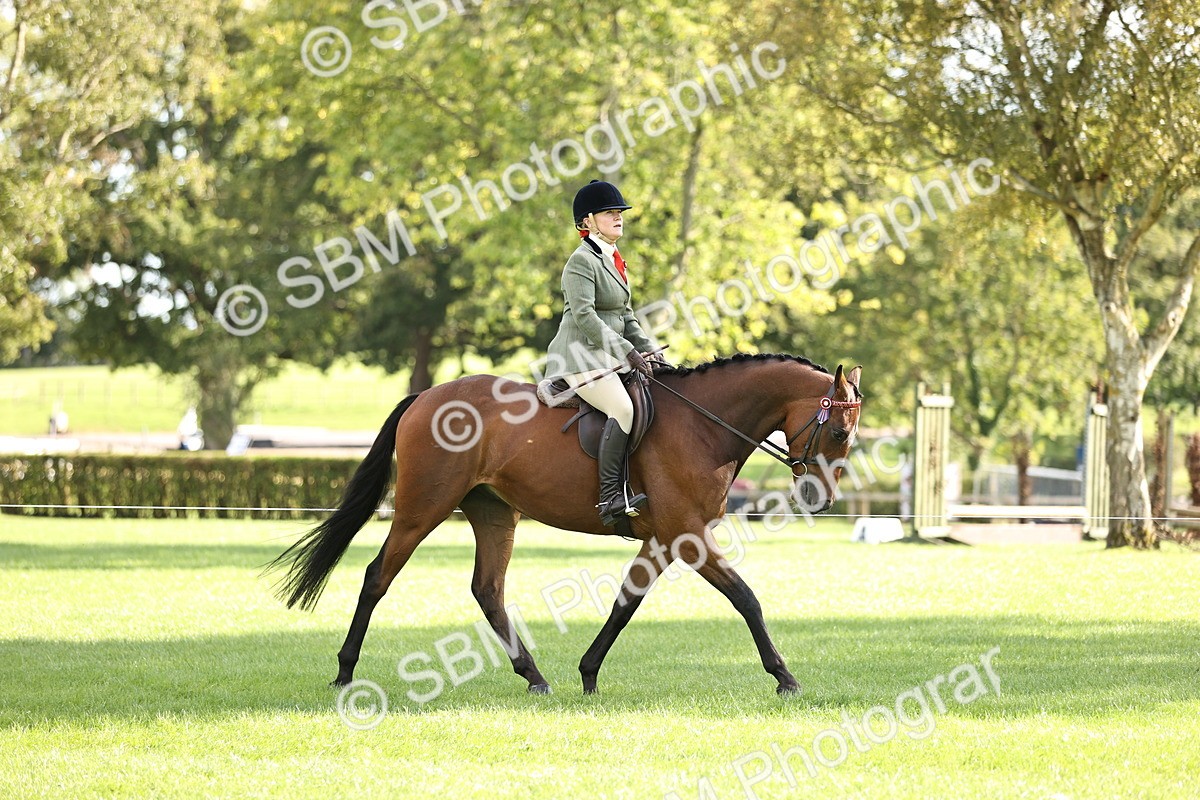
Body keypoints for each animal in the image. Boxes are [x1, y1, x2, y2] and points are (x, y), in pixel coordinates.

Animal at [267, 353, 863, 696]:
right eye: (838, 431)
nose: (821, 498)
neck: (703, 424)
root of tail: (426, 396)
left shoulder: (662, 539)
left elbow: (626, 604)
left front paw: (589, 673)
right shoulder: (687, 535)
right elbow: (746, 598)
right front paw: (785, 677)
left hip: (493, 512)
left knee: (487, 589)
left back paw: (535, 677)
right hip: (423, 509)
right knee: (377, 577)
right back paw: (345, 673)